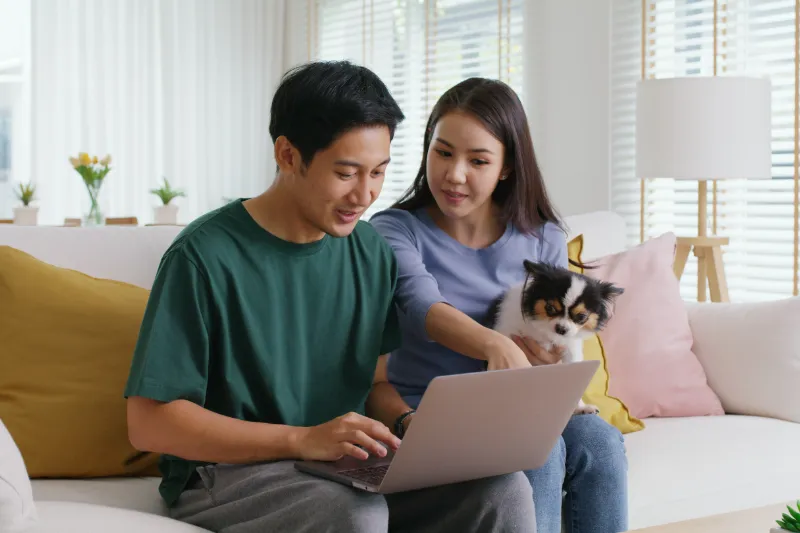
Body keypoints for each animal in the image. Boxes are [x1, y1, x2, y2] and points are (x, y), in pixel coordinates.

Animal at [484, 260, 628, 414]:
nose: (561, 329)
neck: (545, 331)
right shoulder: (507, 333)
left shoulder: (570, 349)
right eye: (550, 308)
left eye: (581, 316)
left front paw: (580, 407)